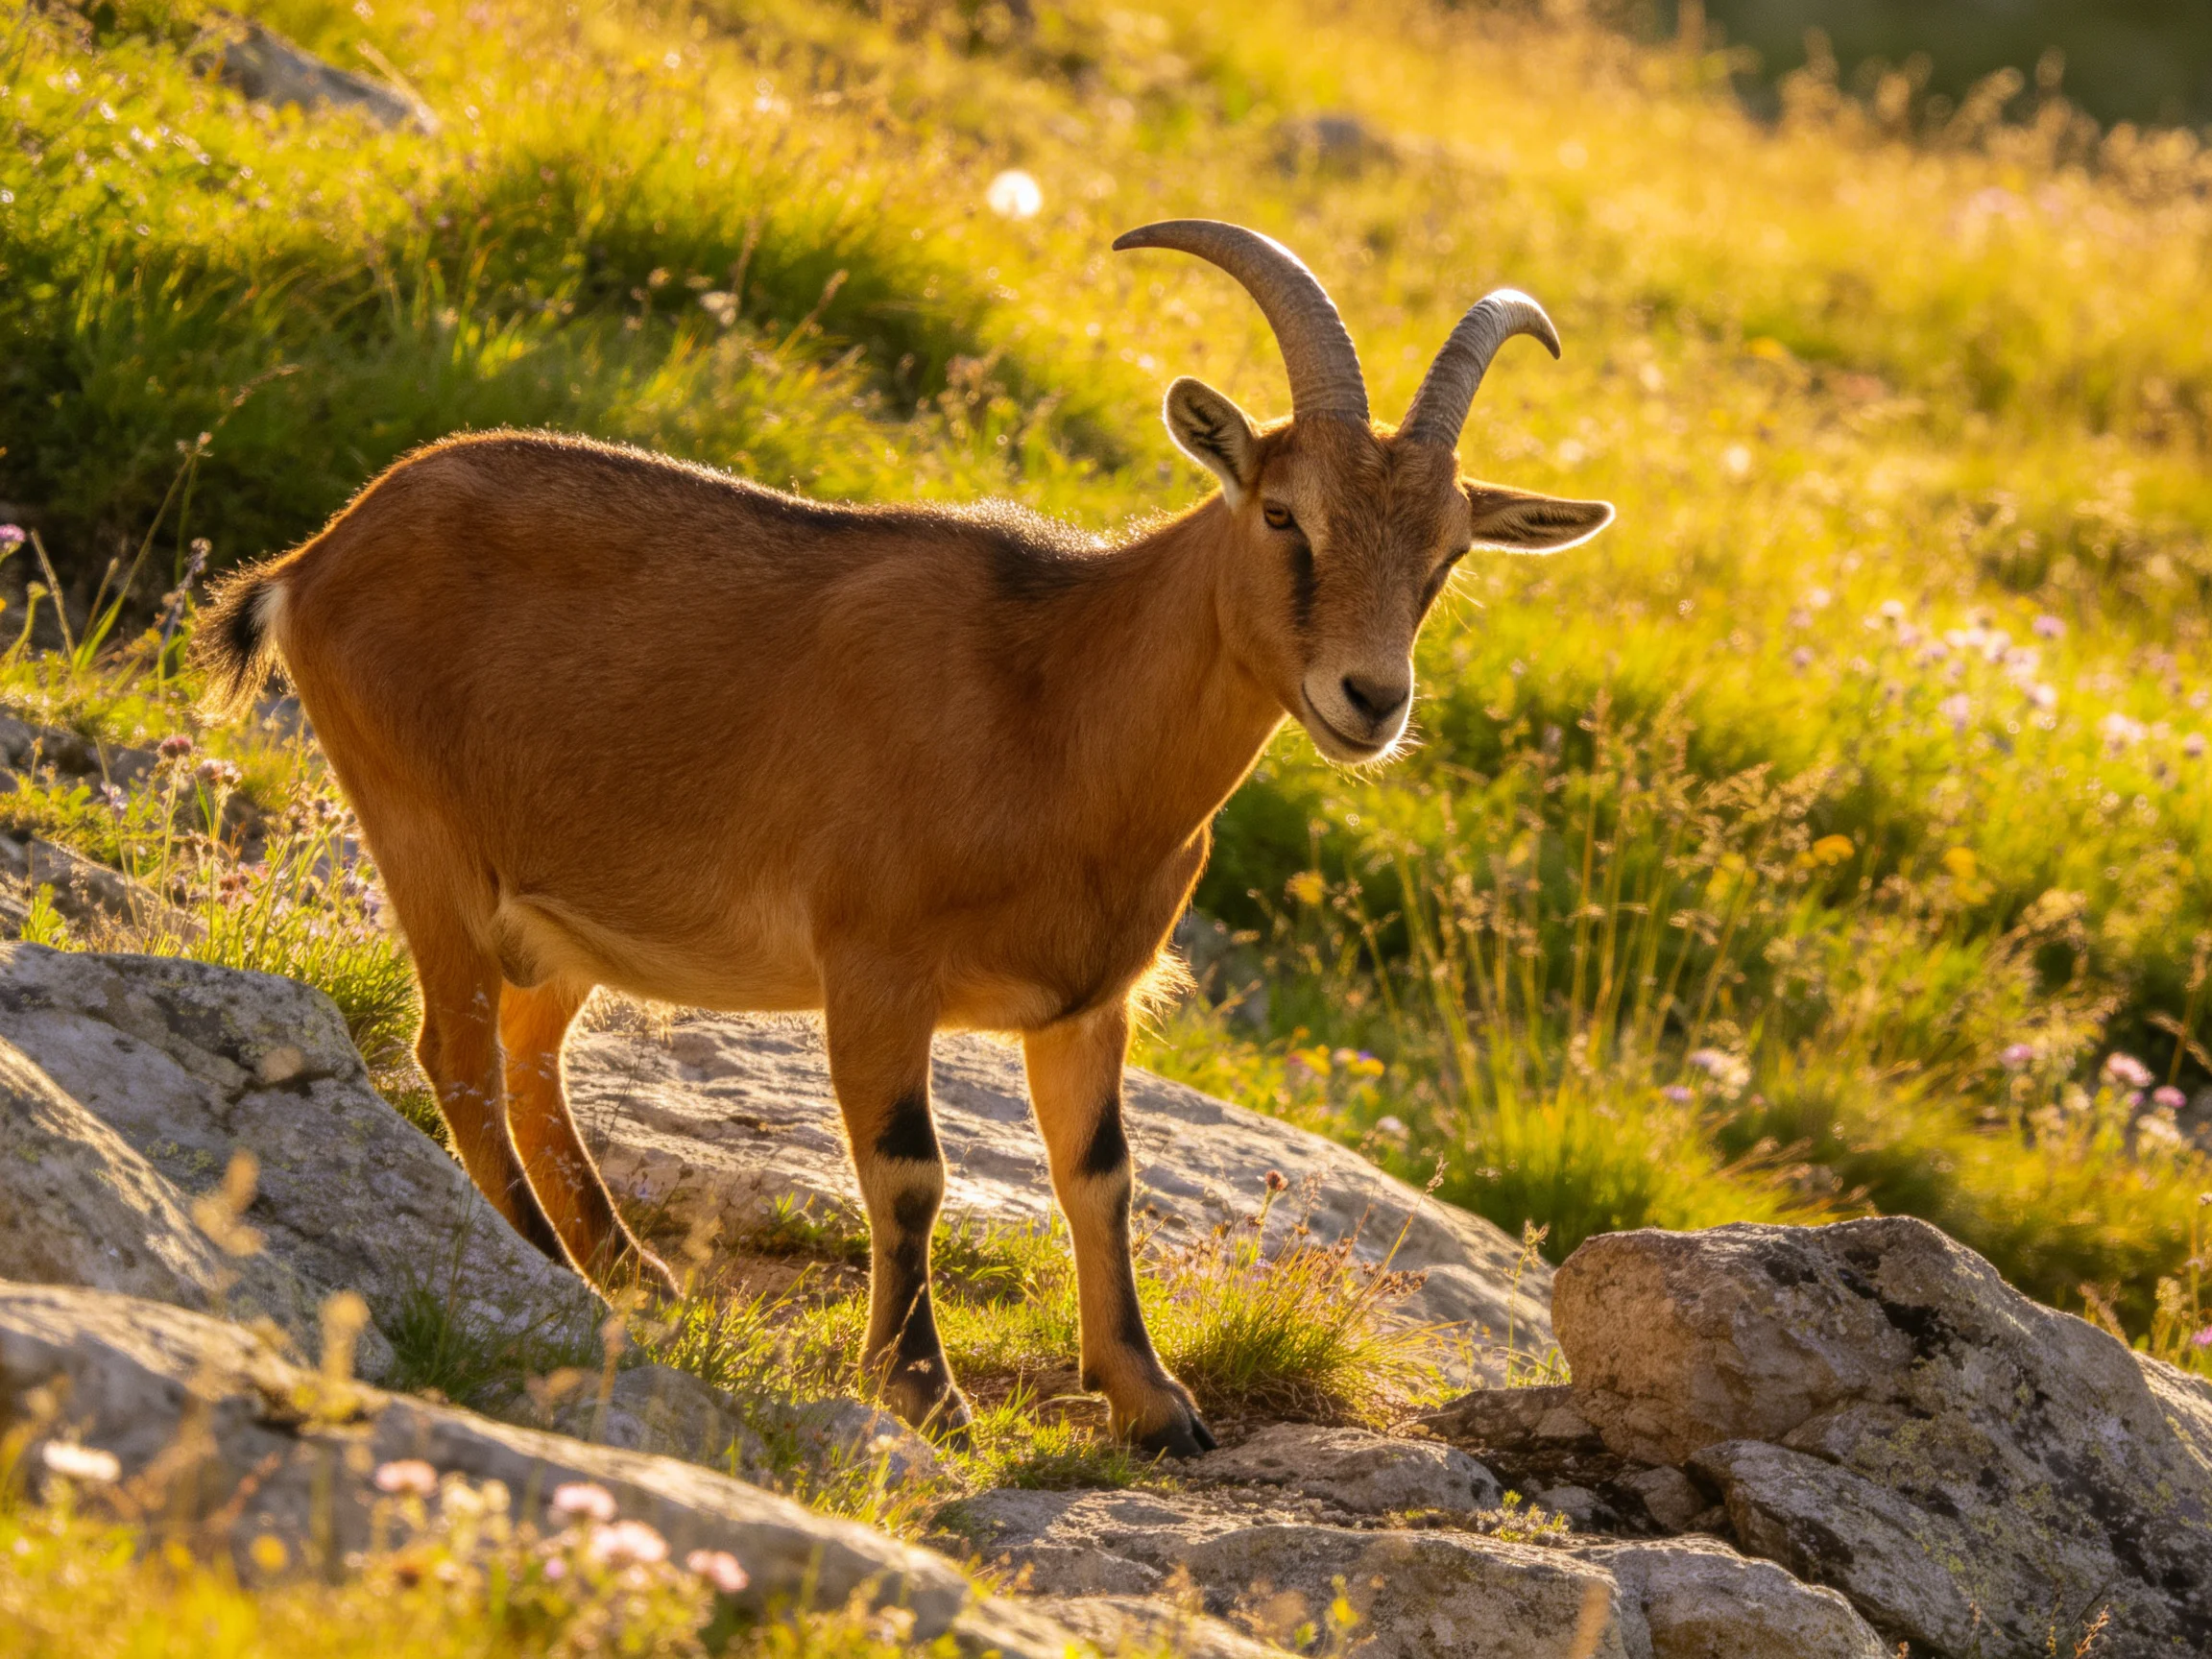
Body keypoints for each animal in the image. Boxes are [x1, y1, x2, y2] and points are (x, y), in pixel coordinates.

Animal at [193, 221, 1612, 1456]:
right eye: (1283, 514)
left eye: (1446, 555)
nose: (1371, 700)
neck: (1056, 708)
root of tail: (316, 559)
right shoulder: (876, 967)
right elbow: (909, 1169)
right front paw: (924, 1390)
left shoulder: (1089, 1003)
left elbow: (1102, 1177)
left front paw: (1154, 1402)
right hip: (423, 836)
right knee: (460, 1053)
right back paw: (554, 1276)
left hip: (563, 914)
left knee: (530, 1054)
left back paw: (628, 1270)